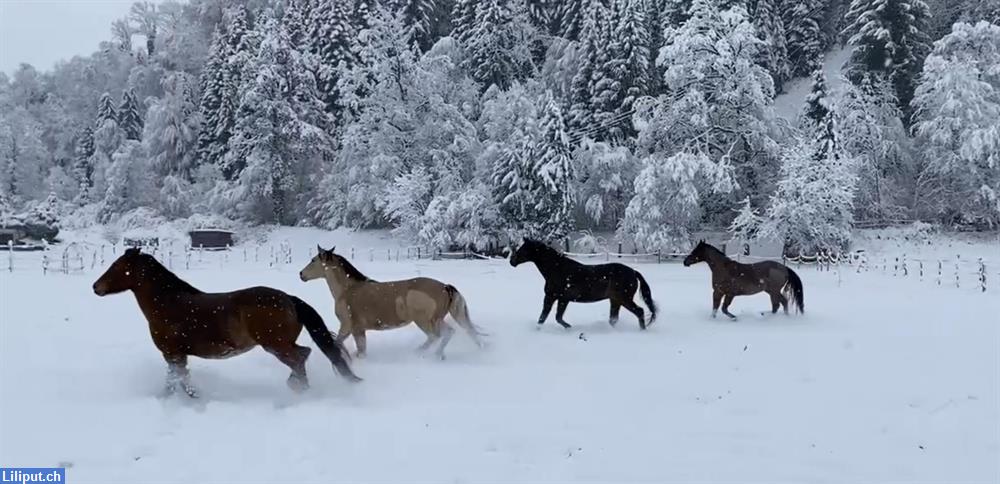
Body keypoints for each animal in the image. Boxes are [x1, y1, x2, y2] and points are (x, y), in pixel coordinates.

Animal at [92, 246, 362, 398]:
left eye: (117, 267)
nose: (96, 287)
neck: (167, 303)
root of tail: (290, 299)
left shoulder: (172, 353)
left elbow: (178, 381)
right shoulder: (177, 355)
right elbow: (177, 380)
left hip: (276, 345)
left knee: (299, 358)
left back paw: (299, 391)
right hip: (281, 344)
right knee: (303, 354)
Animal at [296, 246, 484, 360]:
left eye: (313, 260)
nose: (301, 274)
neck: (348, 290)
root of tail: (444, 286)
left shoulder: (349, 327)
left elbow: (344, 345)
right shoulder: (358, 330)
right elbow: (359, 350)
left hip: (425, 321)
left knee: (436, 336)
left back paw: (421, 354)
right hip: (438, 319)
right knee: (451, 333)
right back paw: (439, 355)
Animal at [508, 238, 656, 328]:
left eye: (523, 249)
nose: (512, 261)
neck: (556, 269)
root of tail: (633, 272)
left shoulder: (553, 297)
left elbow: (546, 317)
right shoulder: (561, 299)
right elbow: (555, 317)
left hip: (624, 299)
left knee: (639, 311)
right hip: (615, 300)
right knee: (614, 319)